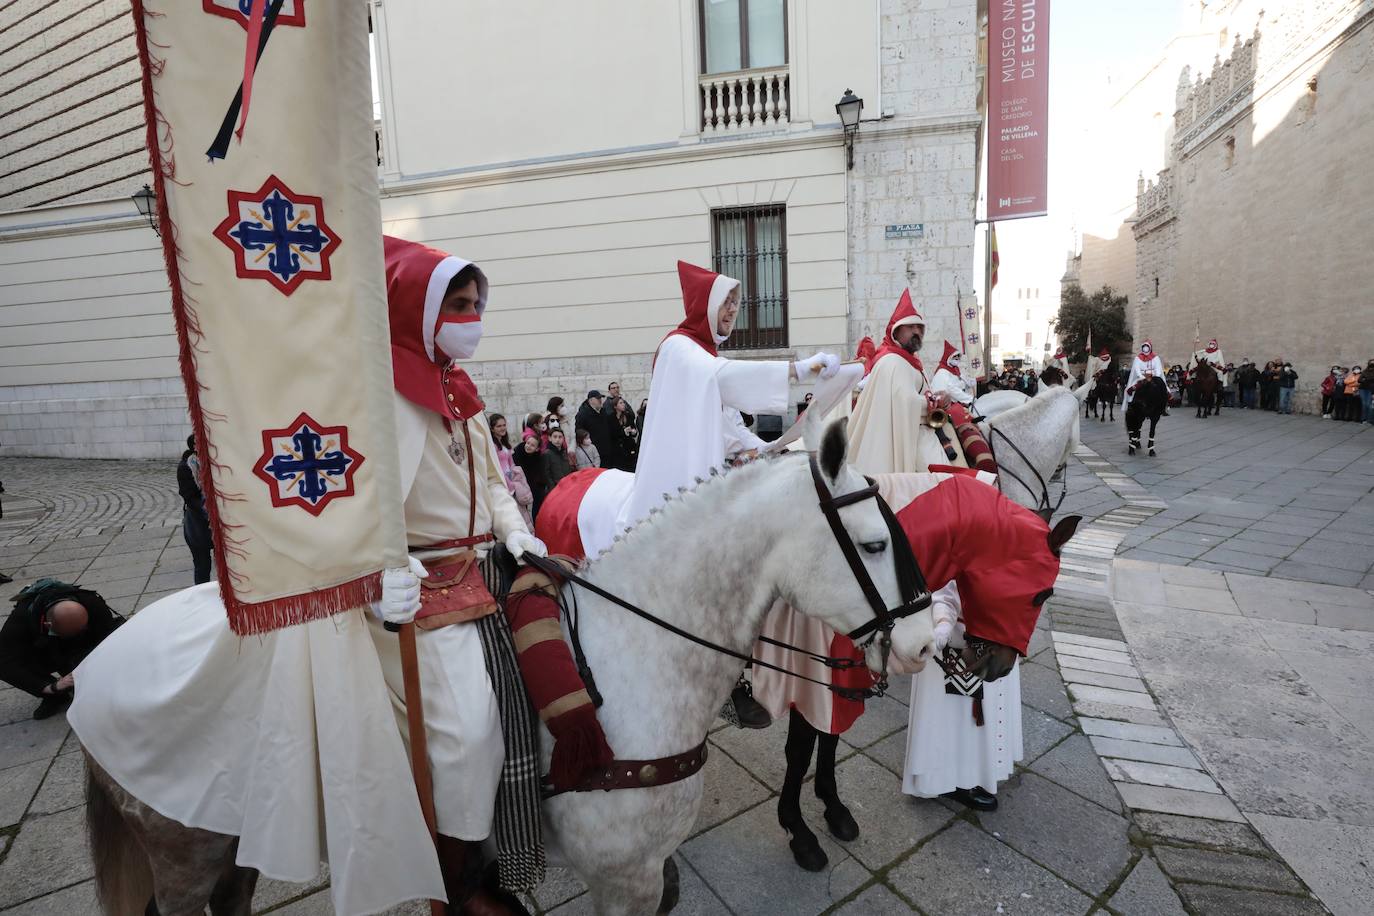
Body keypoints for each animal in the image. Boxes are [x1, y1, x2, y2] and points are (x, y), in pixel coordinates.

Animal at [83, 420, 934, 916]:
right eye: (875, 542)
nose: (928, 639)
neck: (634, 656)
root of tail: (103, 657)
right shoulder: (622, 877)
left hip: (228, 842)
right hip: (183, 851)